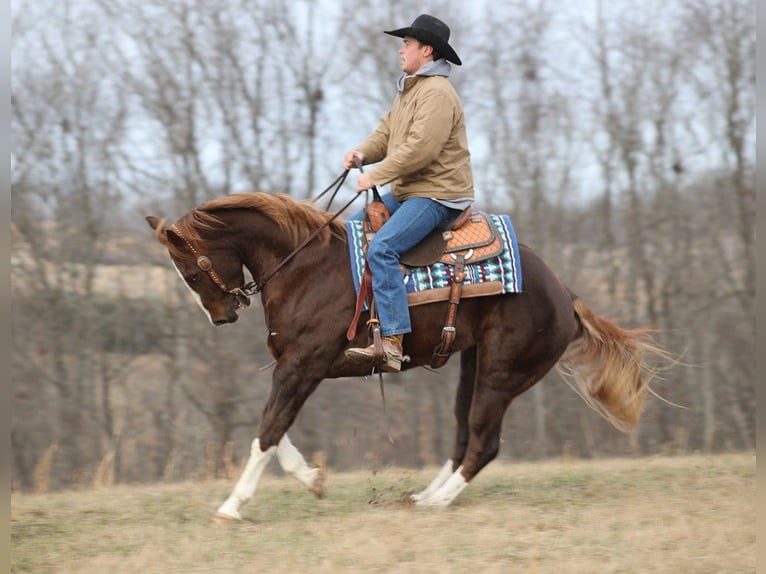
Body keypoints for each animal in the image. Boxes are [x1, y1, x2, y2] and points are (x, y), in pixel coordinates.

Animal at [147, 192, 668, 520]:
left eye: (191, 272)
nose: (222, 316)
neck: (304, 268)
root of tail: (564, 293)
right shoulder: (295, 368)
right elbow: (275, 432)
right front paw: (312, 479)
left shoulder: (303, 365)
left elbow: (268, 431)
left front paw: (232, 506)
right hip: (473, 366)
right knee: (462, 436)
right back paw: (422, 496)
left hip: (502, 373)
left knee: (483, 442)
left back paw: (436, 503)